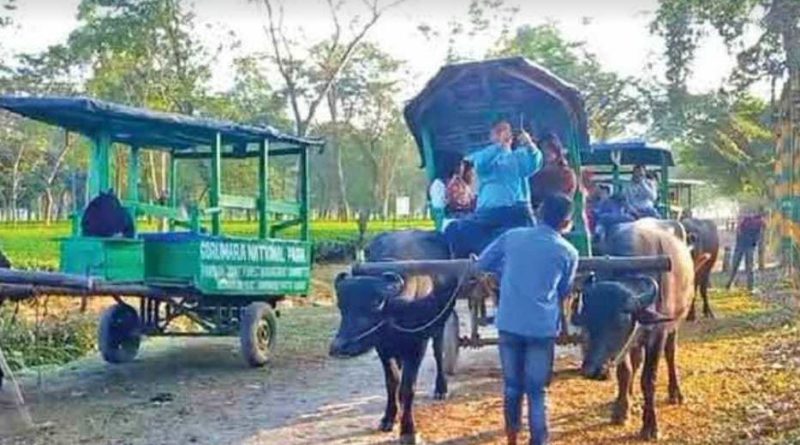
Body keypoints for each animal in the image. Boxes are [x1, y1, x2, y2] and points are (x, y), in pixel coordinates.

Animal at [330, 231, 456, 442]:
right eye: (341, 305)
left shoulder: (417, 344)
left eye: (375, 304)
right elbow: (392, 382)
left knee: (439, 353)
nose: (339, 347)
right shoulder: (383, 347)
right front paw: (389, 418)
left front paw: (408, 430)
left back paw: (441, 389)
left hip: (440, 324)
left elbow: (408, 387)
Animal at [576, 219, 692, 438]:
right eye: (588, 320)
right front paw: (621, 410)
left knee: (670, 354)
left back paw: (675, 393)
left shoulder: (657, 334)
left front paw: (650, 426)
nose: (591, 370)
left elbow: (648, 379)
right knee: (636, 361)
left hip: (674, 325)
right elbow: (625, 373)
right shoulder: (625, 345)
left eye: (619, 323)